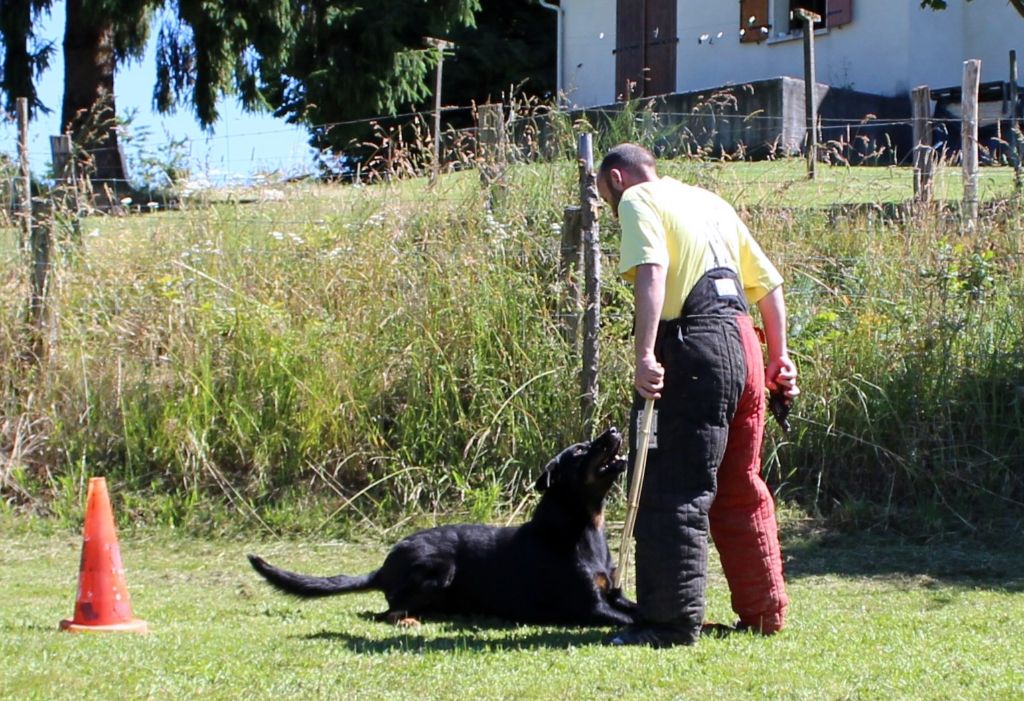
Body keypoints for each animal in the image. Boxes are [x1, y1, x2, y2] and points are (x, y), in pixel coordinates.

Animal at [245, 425, 638, 630]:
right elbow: (631, 620)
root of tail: (383, 568)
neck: (584, 525)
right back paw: (408, 621)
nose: (614, 429)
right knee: (385, 612)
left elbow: (638, 609)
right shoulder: (589, 607)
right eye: (580, 451)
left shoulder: (612, 595)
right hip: (440, 568)